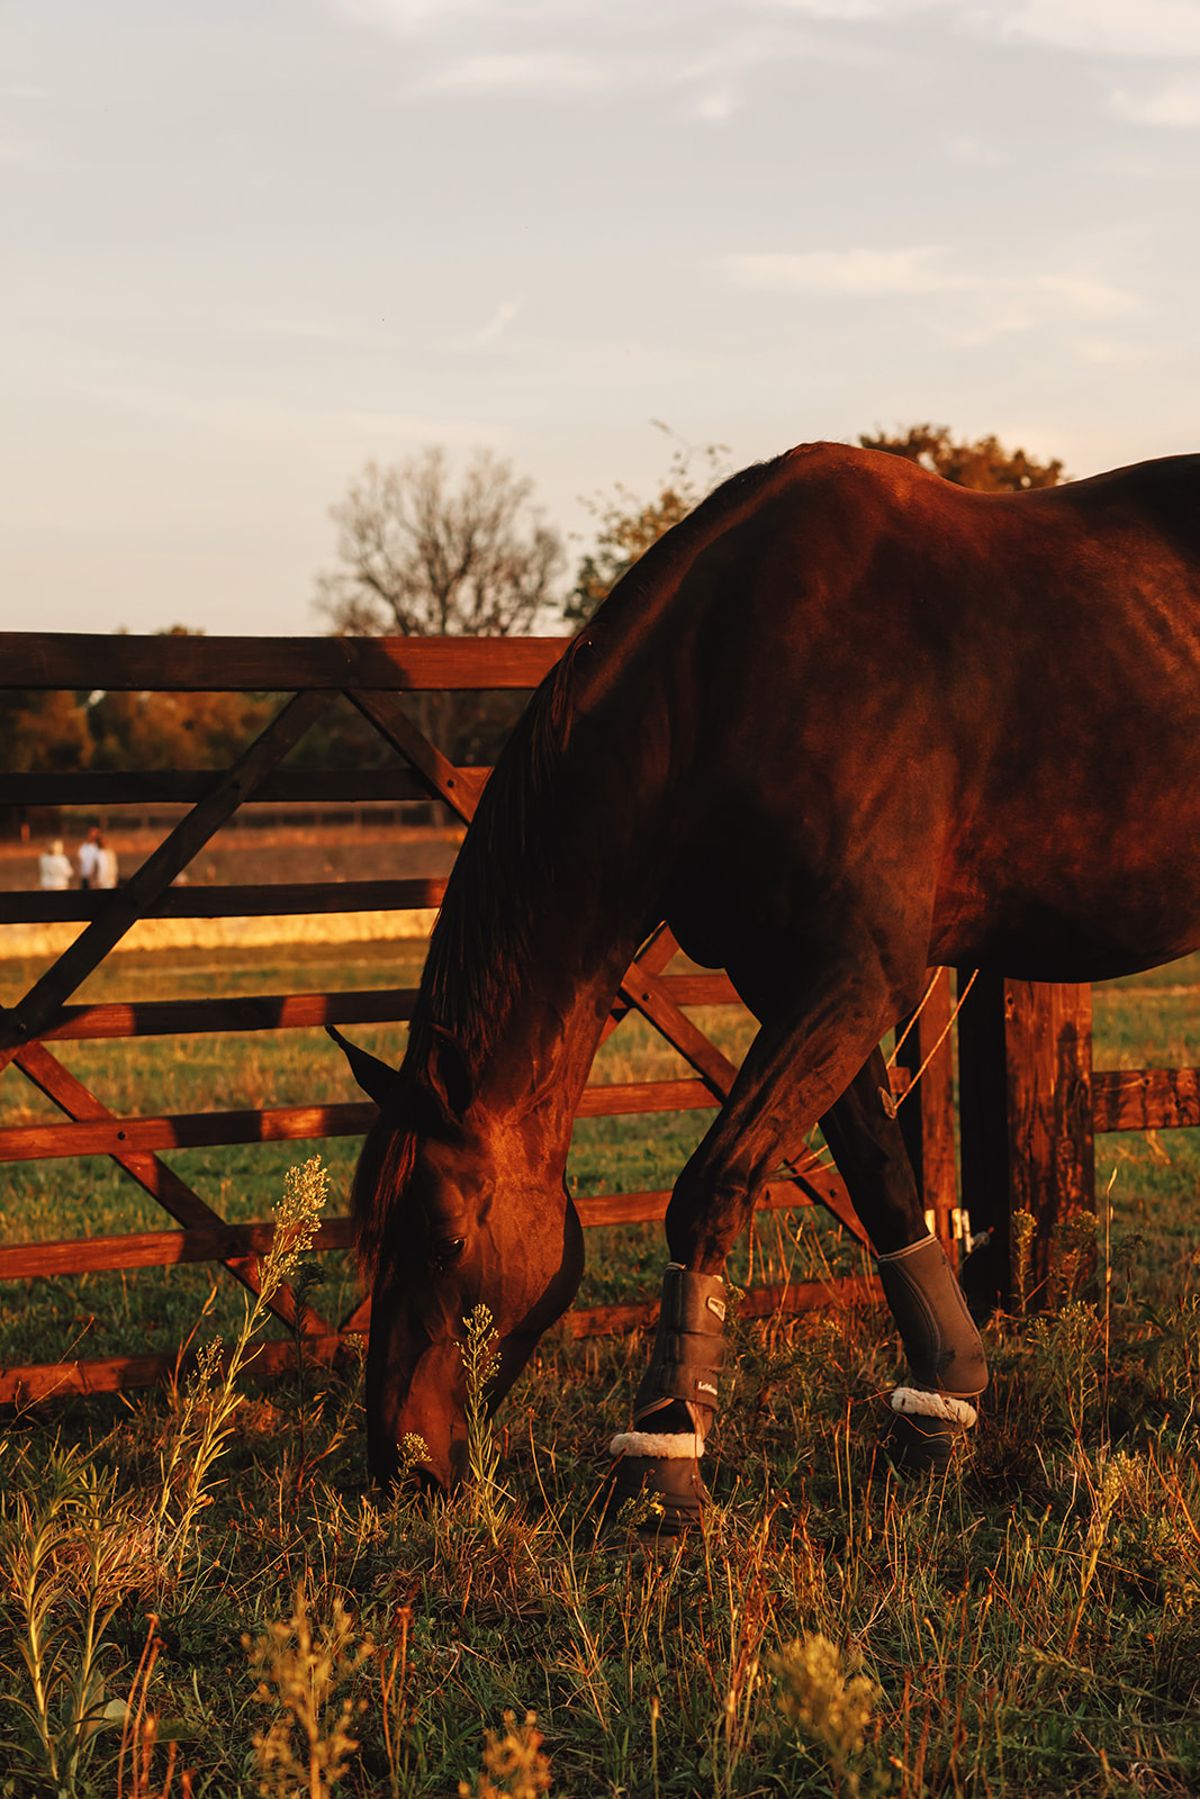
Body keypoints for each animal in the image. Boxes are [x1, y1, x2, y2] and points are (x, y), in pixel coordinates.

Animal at [332, 441, 1200, 1526]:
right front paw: (937, 1419)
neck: (730, 682)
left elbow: (710, 1190)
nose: (400, 1463)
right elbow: (882, 1187)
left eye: (447, 1238)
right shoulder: (800, 983)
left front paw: (663, 1458)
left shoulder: (855, 977)